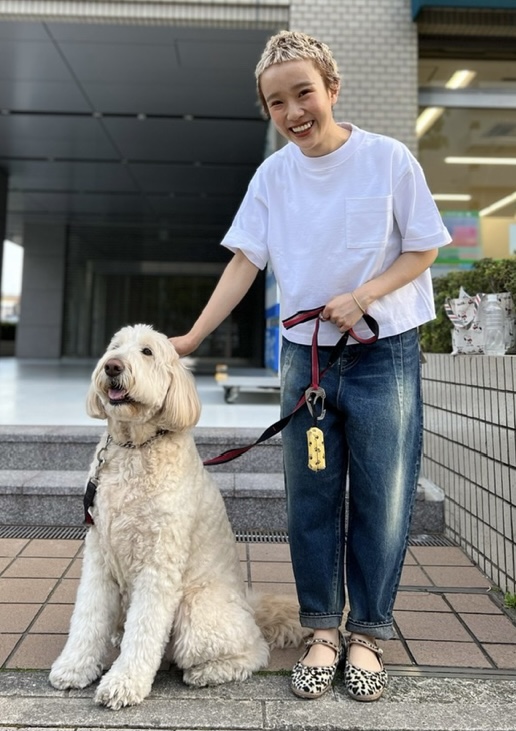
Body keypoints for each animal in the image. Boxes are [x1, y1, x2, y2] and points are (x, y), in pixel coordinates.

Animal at [49, 324, 304, 710]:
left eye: (147, 352)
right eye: (114, 347)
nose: (111, 366)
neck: (134, 447)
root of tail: (249, 605)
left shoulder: (159, 563)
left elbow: (144, 630)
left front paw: (123, 684)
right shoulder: (99, 556)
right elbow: (87, 617)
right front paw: (73, 667)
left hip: (195, 610)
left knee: (253, 650)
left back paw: (207, 672)